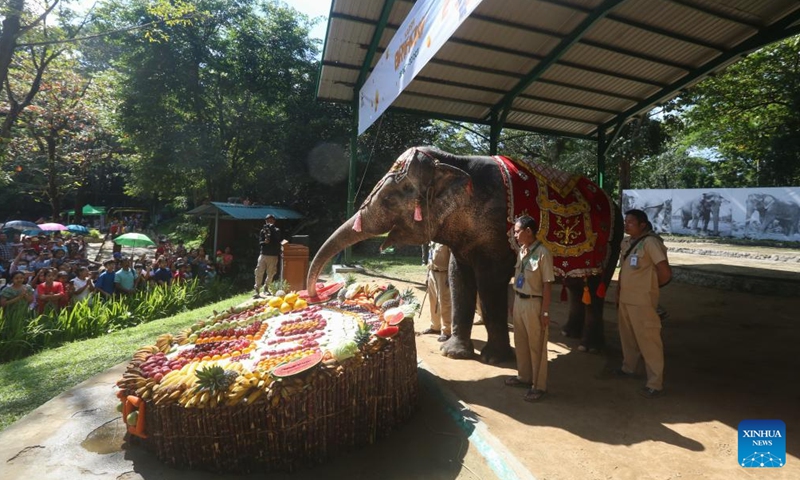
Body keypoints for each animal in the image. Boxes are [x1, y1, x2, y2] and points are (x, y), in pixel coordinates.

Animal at [308, 147, 624, 364]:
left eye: (388, 199)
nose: (315, 296)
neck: (453, 161)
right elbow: (458, 276)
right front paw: (452, 353)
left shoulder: (498, 229)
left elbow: (489, 282)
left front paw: (494, 359)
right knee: (576, 285)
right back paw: (571, 334)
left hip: (613, 241)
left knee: (595, 287)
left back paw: (589, 346)